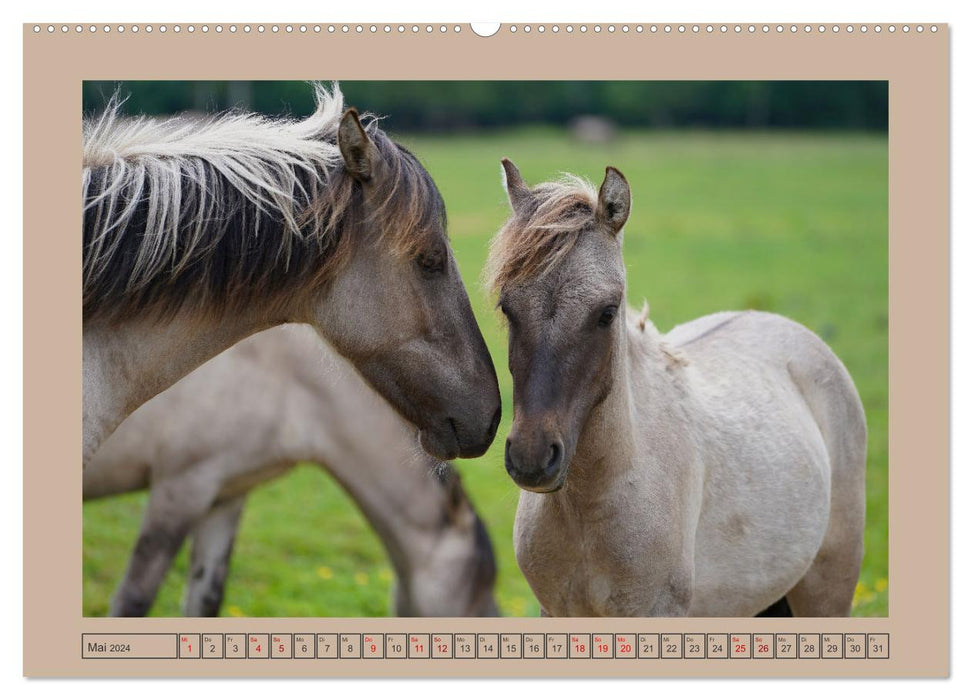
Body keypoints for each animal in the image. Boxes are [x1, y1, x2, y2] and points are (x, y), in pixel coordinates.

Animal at [84, 326, 502, 616]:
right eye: (479, 587)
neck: (285, 379)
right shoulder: (181, 488)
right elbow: (134, 600)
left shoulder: (225, 496)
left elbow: (205, 601)